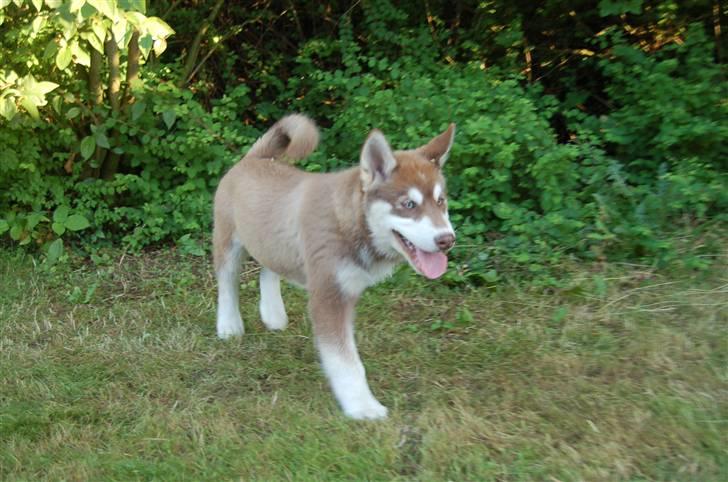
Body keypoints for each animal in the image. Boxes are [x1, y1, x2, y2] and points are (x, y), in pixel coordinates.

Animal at [210, 115, 458, 420]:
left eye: (440, 201)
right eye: (408, 204)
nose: (447, 240)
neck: (349, 220)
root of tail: (255, 158)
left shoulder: (347, 289)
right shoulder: (329, 296)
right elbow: (346, 361)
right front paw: (362, 406)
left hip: (274, 240)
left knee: (269, 268)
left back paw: (273, 314)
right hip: (228, 241)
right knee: (227, 281)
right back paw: (229, 325)